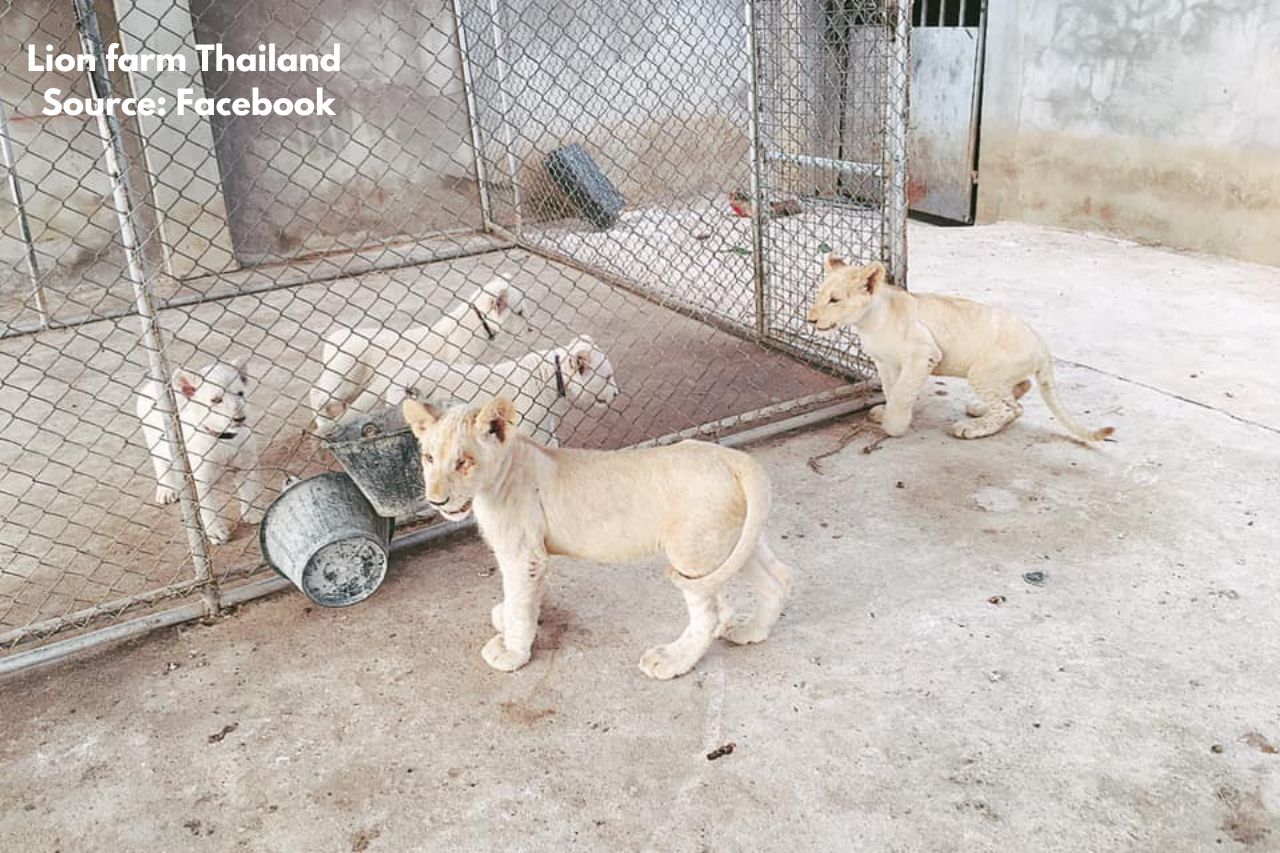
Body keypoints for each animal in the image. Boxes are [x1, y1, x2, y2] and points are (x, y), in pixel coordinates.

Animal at [401, 396, 793, 680]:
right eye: (429, 458)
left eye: (463, 462)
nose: (436, 501)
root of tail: (735, 459)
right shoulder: (530, 555)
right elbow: (522, 600)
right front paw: (511, 617)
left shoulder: (523, 554)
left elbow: (519, 602)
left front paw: (512, 651)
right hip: (731, 543)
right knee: (777, 577)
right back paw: (751, 631)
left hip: (693, 551)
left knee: (712, 614)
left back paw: (671, 660)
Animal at [806, 256, 1114, 443]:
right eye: (819, 296)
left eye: (834, 300)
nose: (810, 319)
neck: (868, 321)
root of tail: (1043, 346)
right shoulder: (886, 362)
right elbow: (891, 389)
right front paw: (886, 413)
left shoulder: (924, 354)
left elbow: (903, 392)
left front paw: (893, 427)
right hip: (999, 374)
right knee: (1020, 390)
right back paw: (979, 408)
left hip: (982, 370)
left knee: (1011, 409)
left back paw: (971, 428)